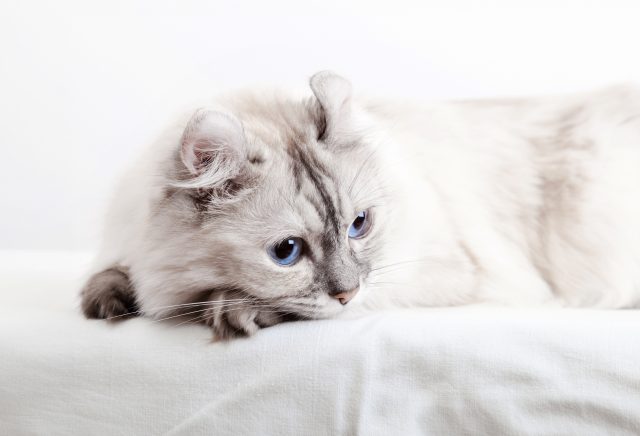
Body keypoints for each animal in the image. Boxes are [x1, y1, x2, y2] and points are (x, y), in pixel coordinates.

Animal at [80, 70, 640, 338]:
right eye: (286, 252)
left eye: (359, 225)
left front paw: (234, 310)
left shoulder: (453, 272)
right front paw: (108, 303)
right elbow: (112, 274)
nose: (348, 295)